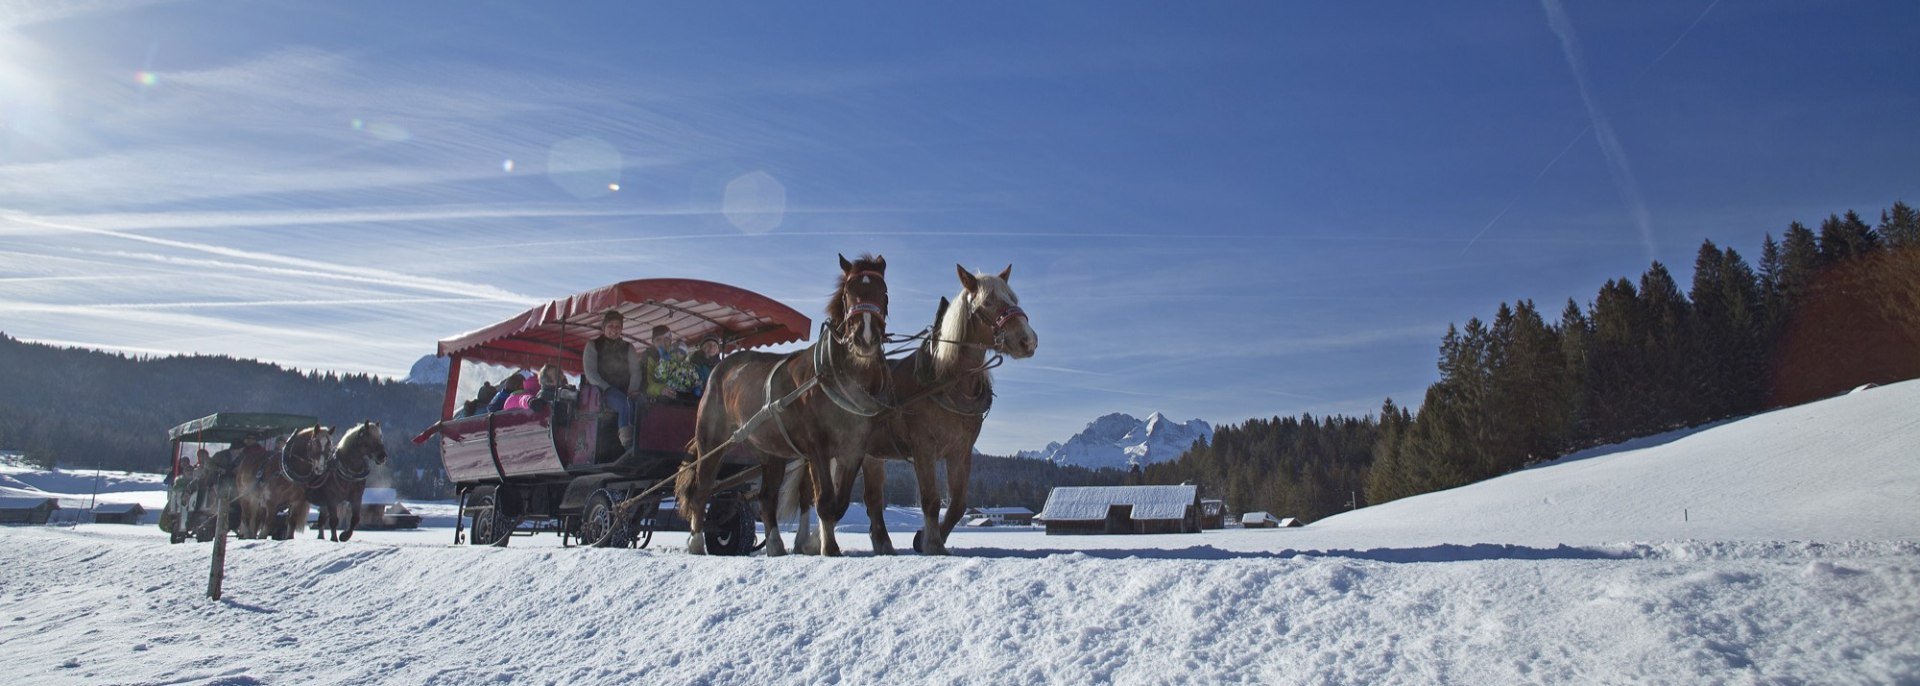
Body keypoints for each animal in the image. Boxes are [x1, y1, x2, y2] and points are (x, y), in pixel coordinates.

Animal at [679, 253, 894, 553]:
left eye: (883, 292)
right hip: (712, 441)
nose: (865, 337)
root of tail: (720, 368)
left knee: (767, 497)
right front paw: (828, 548)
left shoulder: (854, 449)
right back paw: (697, 541)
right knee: (702, 490)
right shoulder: (817, 447)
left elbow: (839, 503)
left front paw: (819, 541)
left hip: (771, 452)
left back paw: (774, 544)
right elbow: (824, 500)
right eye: (847, 294)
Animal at [856, 265, 1036, 553]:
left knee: (873, 498)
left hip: (873, 455)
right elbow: (930, 498)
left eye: (1013, 298)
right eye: (987, 302)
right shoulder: (923, 448)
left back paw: (883, 543)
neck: (946, 382)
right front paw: (933, 544)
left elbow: (958, 504)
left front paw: (923, 539)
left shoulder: (960, 451)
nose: (1028, 340)